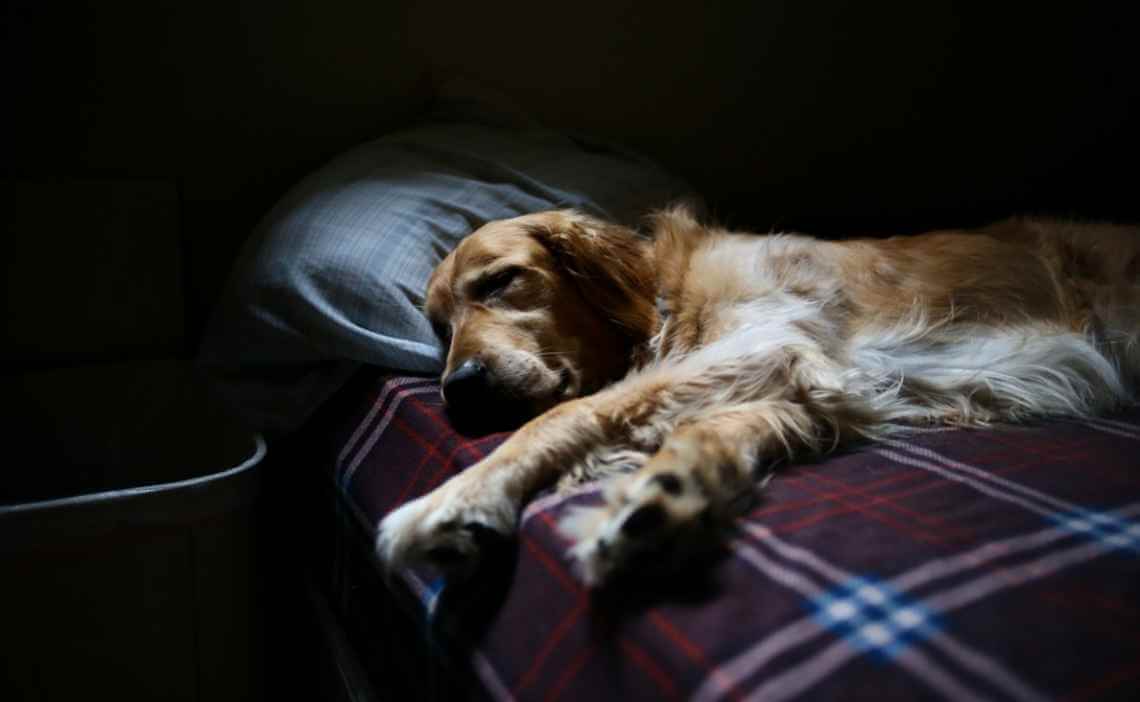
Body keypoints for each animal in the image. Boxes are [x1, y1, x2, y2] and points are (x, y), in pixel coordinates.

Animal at [376, 205, 1140, 583]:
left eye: (501, 281)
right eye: (438, 326)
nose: (459, 391)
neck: (667, 300)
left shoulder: (770, 339)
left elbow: (571, 412)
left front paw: (456, 500)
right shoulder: (811, 387)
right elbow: (708, 430)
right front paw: (670, 493)